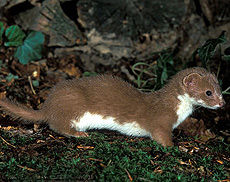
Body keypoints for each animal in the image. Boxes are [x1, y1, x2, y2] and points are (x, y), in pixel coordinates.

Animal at [0, 67, 226, 146]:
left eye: (220, 88)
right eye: (208, 92)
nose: (223, 103)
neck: (179, 111)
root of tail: (48, 106)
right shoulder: (160, 121)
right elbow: (161, 136)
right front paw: (173, 147)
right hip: (73, 105)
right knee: (58, 126)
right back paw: (79, 134)